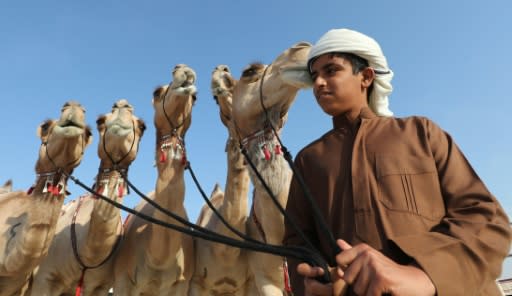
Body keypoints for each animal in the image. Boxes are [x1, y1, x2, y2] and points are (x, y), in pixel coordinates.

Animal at [30, 99, 146, 296]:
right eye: (100, 121)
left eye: (142, 126)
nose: (121, 105)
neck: (89, 252)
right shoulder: (45, 277)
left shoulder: (101, 287)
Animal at [113, 63, 197, 294]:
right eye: (157, 92)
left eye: (195, 97)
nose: (185, 70)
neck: (159, 259)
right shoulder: (123, 280)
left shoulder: (182, 284)